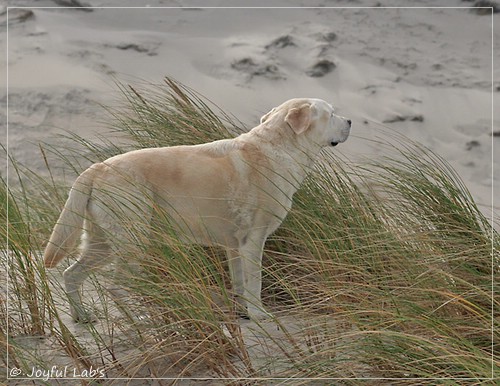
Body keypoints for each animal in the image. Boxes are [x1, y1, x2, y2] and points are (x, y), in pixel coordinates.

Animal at [44, 98, 352, 322]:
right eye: (331, 113)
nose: (349, 120)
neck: (280, 147)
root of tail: (95, 169)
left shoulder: (234, 246)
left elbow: (239, 283)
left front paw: (243, 313)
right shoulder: (253, 240)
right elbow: (255, 282)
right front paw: (259, 314)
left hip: (102, 242)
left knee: (70, 274)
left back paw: (82, 317)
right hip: (132, 240)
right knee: (115, 286)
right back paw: (139, 320)